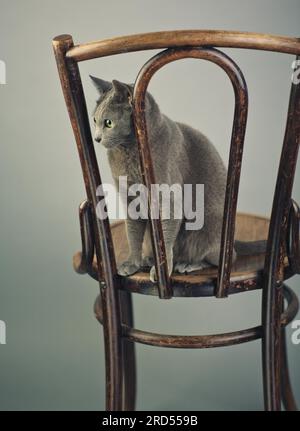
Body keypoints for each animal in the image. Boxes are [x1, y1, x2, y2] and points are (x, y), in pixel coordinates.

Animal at [89, 76, 264, 282]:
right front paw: (132, 262)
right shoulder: (129, 198)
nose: (96, 138)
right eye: (94, 120)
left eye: (108, 123)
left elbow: (166, 234)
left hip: (208, 225)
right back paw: (148, 258)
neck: (128, 151)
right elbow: (132, 232)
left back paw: (188, 263)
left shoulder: (169, 198)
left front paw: (162, 271)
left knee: (220, 258)